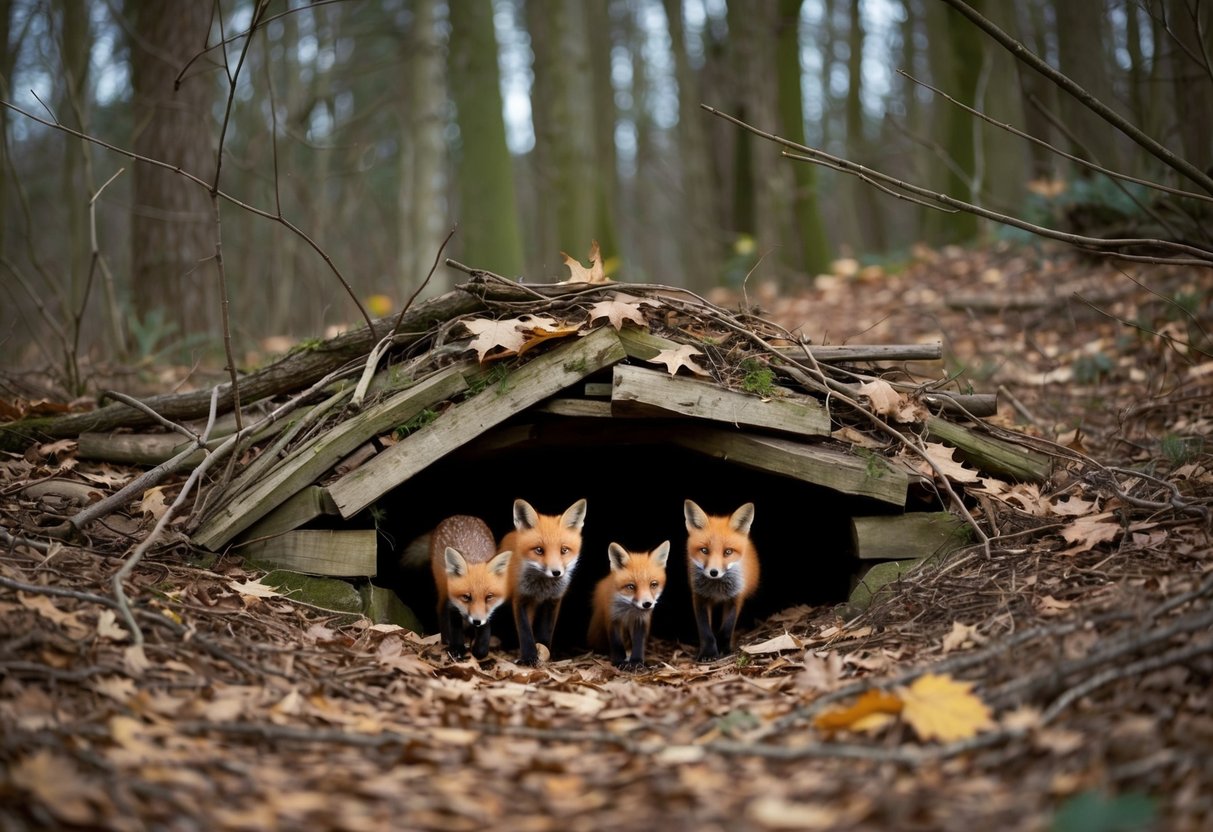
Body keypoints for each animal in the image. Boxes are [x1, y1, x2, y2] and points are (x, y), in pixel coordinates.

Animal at [427, 515, 512, 661]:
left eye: (489, 597)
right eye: (466, 597)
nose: (477, 621)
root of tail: (461, 516)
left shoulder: (485, 614)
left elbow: (484, 632)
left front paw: (478, 650)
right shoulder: (453, 605)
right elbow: (456, 629)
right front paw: (457, 649)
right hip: (442, 588)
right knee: (440, 610)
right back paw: (446, 640)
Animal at [500, 498, 588, 665]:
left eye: (564, 550)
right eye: (539, 550)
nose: (556, 572)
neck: (542, 589)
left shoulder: (553, 601)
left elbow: (546, 629)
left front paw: (543, 650)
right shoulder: (519, 599)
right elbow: (525, 631)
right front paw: (528, 657)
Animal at [587, 541, 670, 670]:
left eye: (653, 584)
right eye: (631, 586)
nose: (647, 604)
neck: (628, 611)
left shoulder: (641, 621)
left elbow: (638, 643)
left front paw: (636, 661)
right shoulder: (613, 619)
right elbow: (616, 643)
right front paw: (619, 661)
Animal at [684, 500, 760, 661]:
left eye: (728, 552)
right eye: (704, 550)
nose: (714, 572)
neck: (717, 589)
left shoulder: (736, 597)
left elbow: (727, 628)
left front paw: (724, 648)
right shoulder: (699, 598)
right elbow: (705, 631)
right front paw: (708, 653)